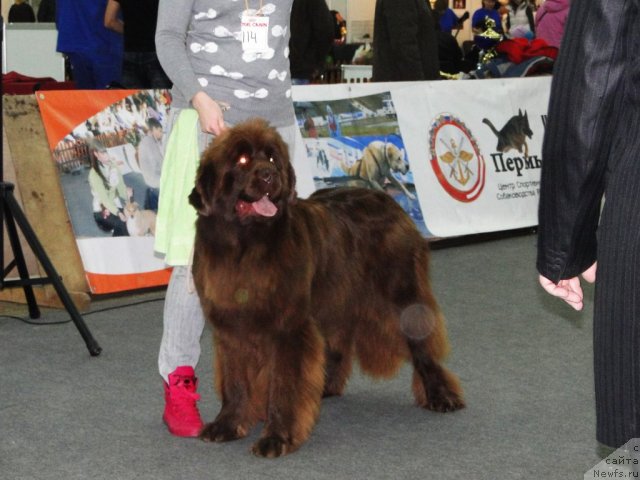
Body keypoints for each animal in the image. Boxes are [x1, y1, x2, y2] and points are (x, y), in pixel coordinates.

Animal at [188, 118, 462, 456]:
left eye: (272, 157)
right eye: (241, 160)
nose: (269, 175)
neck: (244, 246)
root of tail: (387, 201)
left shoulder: (287, 327)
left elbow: (284, 384)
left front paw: (277, 437)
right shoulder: (230, 328)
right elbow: (235, 381)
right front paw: (227, 424)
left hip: (403, 295)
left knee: (422, 344)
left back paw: (441, 395)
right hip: (334, 298)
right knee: (336, 346)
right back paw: (324, 387)